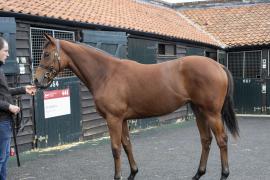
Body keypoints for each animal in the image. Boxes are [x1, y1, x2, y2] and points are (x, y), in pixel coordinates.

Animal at [33, 34, 238, 180]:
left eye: (46, 54)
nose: (36, 80)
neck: (106, 74)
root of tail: (218, 66)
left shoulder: (113, 119)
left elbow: (115, 148)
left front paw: (118, 176)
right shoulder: (122, 120)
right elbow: (127, 145)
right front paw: (133, 172)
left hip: (212, 113)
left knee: (222, 140)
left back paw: (224, 174)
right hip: (199, 111)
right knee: (206, 140)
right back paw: (198, 173)